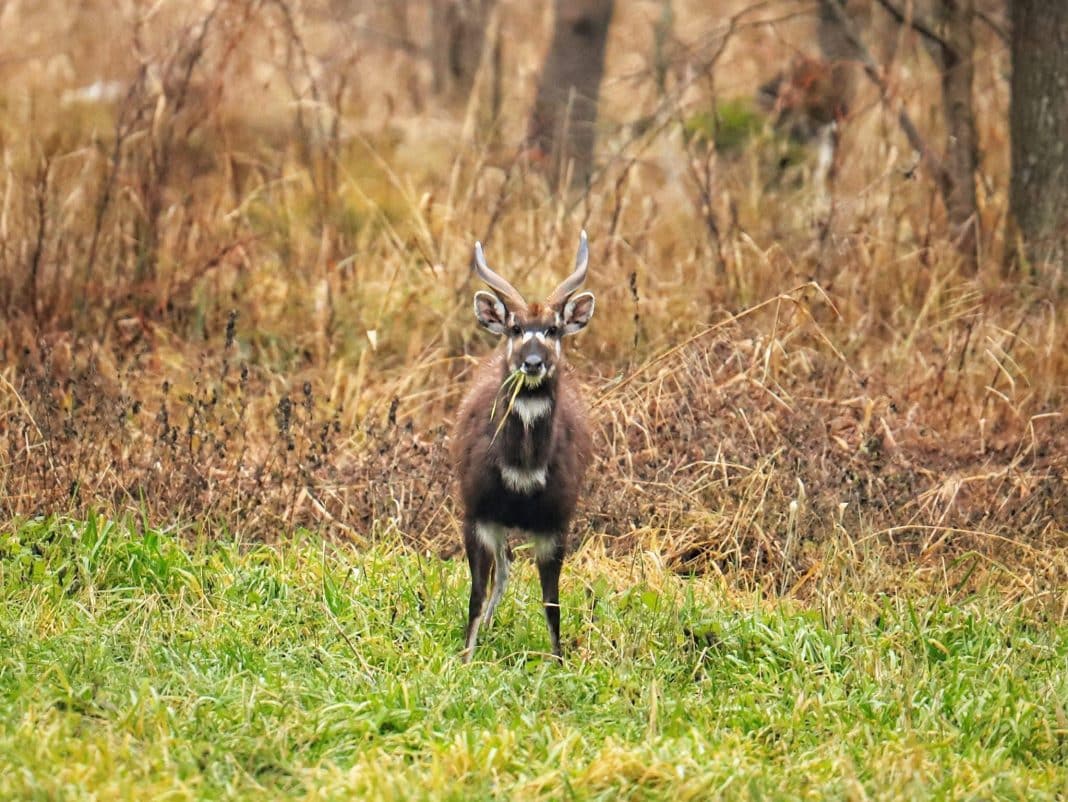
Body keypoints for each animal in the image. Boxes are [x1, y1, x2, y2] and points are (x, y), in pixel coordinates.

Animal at [454, 228, 598, 662]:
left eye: (553, 328)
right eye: (515, 328)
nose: (532, 363)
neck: (521, 473)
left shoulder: (555, 524)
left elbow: (552, 603)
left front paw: (559, 662)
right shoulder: (478, 515)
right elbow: (475, 594)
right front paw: (464, 660)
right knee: (501, 571)